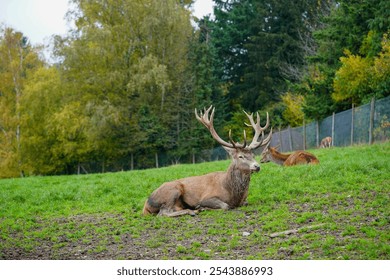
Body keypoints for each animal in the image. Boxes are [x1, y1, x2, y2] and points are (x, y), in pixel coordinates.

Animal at [142, 105, 272, 217]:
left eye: (253, 154)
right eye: (241, 156)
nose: (257, 166)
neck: (232, 193)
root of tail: (145, 206)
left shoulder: (244, 200)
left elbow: (245, 203)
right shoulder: (206, 197)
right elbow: (225, 206)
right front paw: (202, 207)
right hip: (172, 190)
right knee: (163, 213)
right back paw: (193, 211)